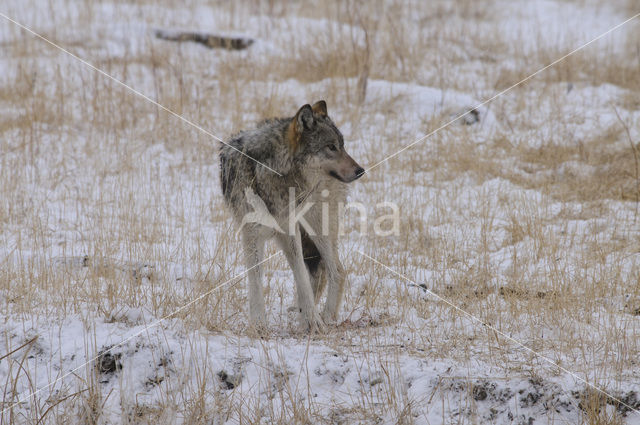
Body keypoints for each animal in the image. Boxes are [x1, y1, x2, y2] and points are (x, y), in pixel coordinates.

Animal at [219, 100, 364, 332]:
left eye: (342, 146)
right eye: (331, 147)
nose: (360, 170)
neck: (273, 174)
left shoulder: (289, 230)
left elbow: (301, 277)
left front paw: (314, 322)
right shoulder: (252, 234)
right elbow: (256, 278)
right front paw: (259, 325)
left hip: (317, 229)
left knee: (337, 271)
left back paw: (327, 317)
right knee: (322, 272)